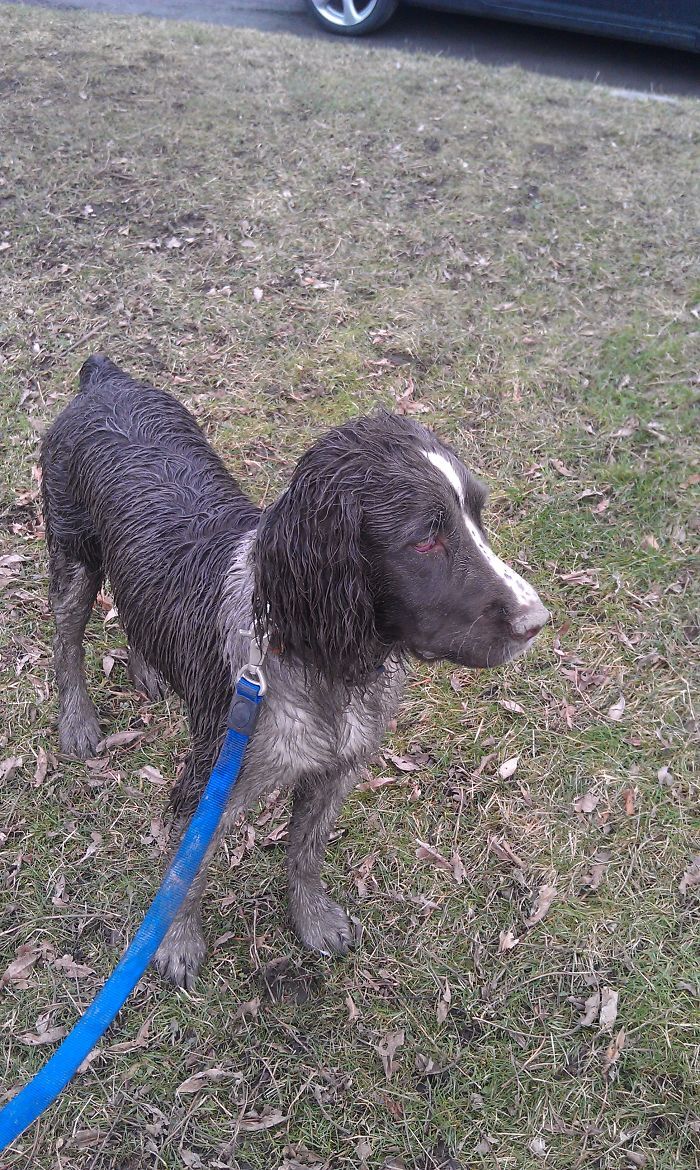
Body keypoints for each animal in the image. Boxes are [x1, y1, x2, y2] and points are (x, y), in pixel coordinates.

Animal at [41, 358, 552, 987]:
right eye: (425, 538)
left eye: (478, 515)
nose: (537, 620)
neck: (319, 669)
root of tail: (103, 378)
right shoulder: (211, 781)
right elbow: (185, 872)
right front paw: (177, 944)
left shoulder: (338, 770)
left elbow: (305, 851)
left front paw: (312, 922)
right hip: (72, 553)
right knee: (66, 642)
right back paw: (78, 723)